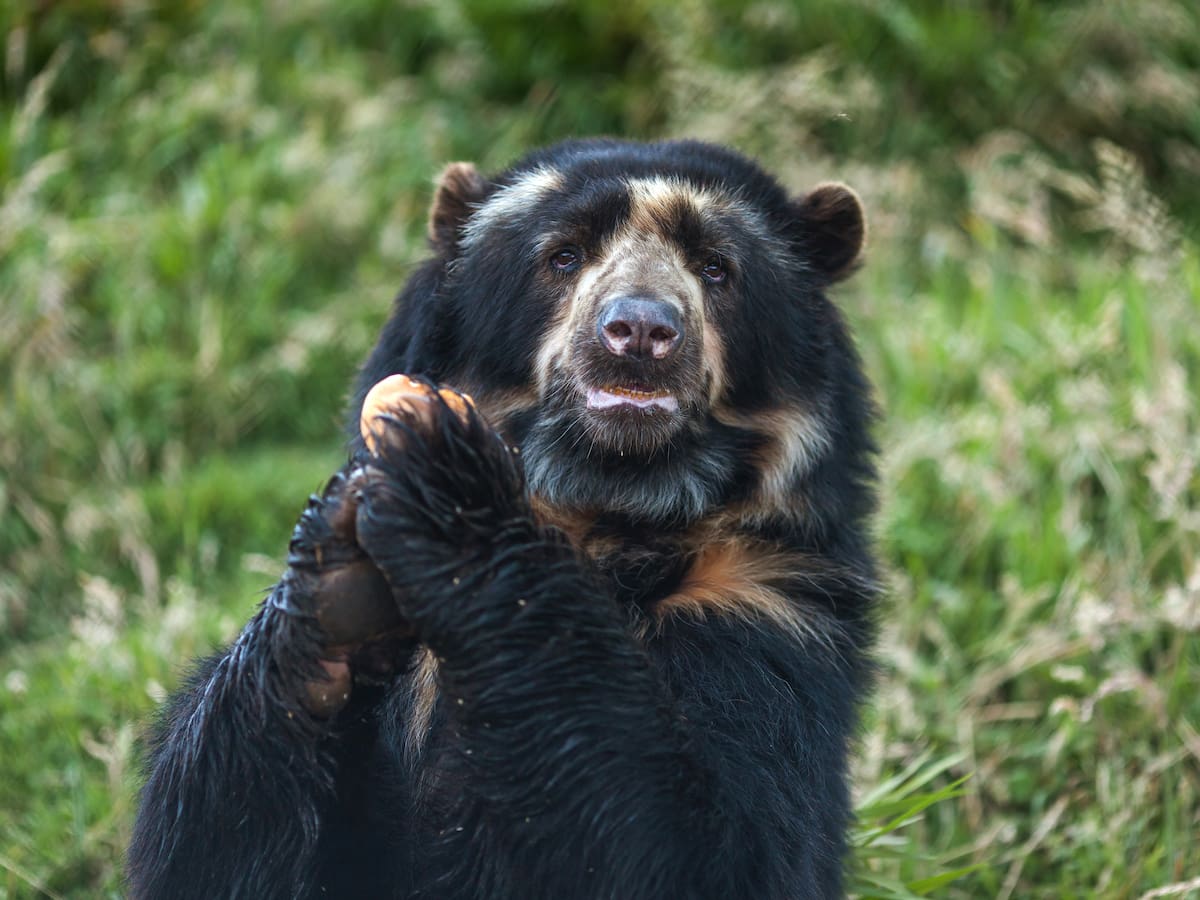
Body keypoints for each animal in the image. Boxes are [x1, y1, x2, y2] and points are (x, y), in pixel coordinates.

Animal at [127, 138, 879, 900]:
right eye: (564, 256)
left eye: (716, 267)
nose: (639, 332)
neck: (607, 510)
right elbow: (208, 839)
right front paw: (338, 584)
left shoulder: (765, 603)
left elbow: (703, 844)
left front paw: (443, 473)